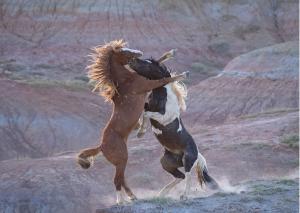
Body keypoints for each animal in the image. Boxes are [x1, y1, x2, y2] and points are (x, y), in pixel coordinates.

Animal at [76, 40, 188, 205]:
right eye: (122, 51)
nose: (138, 53)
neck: (125, 80)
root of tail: (101, 147)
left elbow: (157, 62)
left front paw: (171, 52)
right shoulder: (147, 84)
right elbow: (164, 79)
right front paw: (183, 74)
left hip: (120, 163)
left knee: (122, 180)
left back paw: (132, 197)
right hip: (122, 159)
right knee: (117, 180)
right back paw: (121, 201)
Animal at [129, 54, 218, 199]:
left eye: (147, 64)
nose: (131, 60)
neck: (162, 95)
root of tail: (197, 154)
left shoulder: (164, 117)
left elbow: (146, 114)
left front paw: (141, 132)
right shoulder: (148, 106)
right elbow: (143, 111)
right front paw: (139, 131)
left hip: (187, 160)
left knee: (188, 176)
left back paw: (184, 196)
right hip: (166, 162)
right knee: (180, 176)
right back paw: (161, 193)